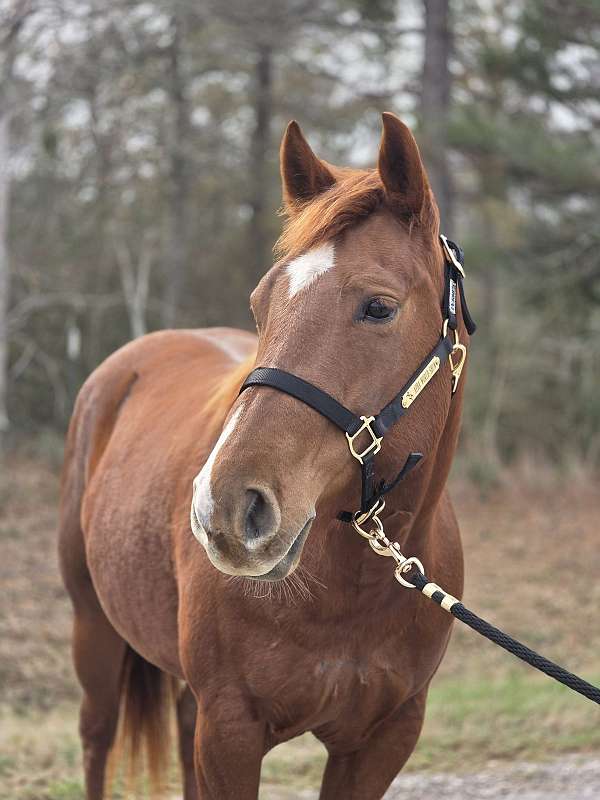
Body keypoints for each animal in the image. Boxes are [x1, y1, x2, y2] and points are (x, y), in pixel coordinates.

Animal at [59, 112, 469, 800]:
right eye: (261, 303)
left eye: (379, 306)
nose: (225, 509)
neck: (349, 593)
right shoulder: (231, 730)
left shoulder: (384, 739)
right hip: (94, 632)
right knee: (96, 739)